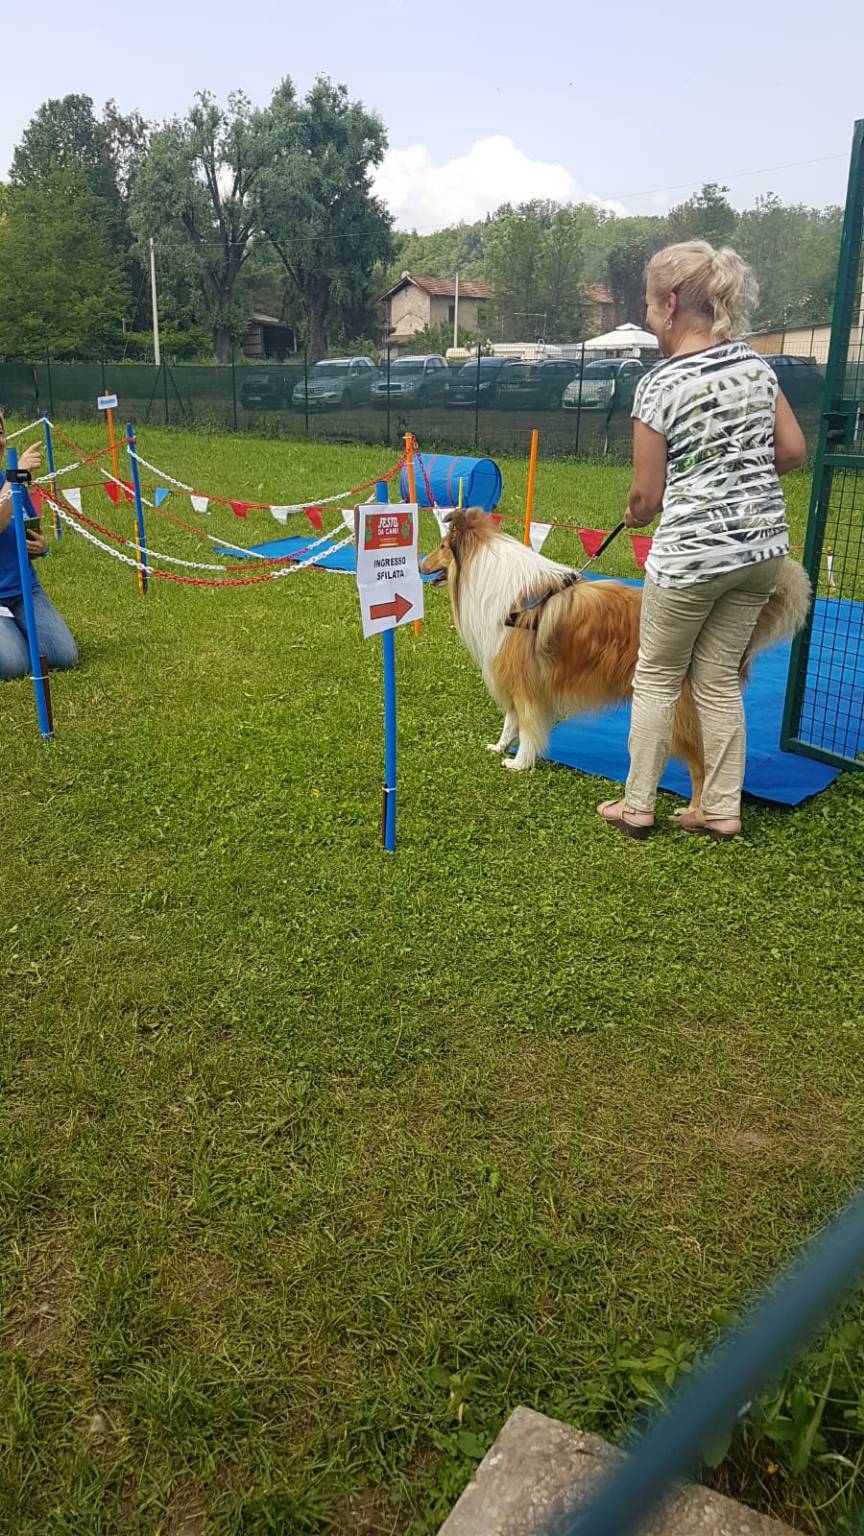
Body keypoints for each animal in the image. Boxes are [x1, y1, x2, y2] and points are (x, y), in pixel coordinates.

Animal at [421, 509, 811, 811]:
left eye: (441, 546)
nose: (421, 563)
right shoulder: (514, 679)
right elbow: (510, 721)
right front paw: (499, 746)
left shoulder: (525, 683)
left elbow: (528, 725)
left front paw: (519, 762)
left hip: (682, 709)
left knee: (703, 764)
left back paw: (694, 811)